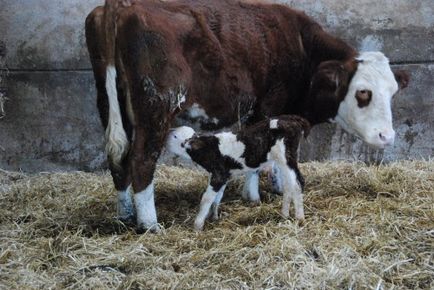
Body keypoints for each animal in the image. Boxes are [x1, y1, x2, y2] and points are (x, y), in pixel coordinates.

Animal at [167, 114, 312, 230]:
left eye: (174, 136)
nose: (166, 137)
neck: (208, 150)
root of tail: (294, 119)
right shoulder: (223, 175)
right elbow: (217, 196)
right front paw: (213, 216)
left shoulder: (219, 175)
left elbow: (206, 198)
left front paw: (197, 225)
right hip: (283, 160)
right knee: (289, 185)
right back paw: (284, 215)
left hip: (285, 156)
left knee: (297, 183)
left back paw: (299, 218)